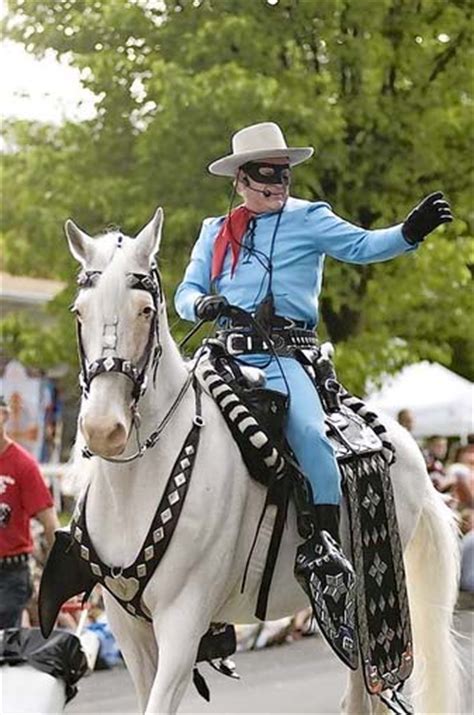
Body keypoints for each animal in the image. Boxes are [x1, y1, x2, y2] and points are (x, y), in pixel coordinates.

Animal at [65, 208, 462, 715]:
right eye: (80, 311)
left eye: (145, 311)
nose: (103, 428)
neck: (137, 484)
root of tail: (407, 444)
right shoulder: (129, 626)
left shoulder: (183, 622)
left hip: (370, 614)